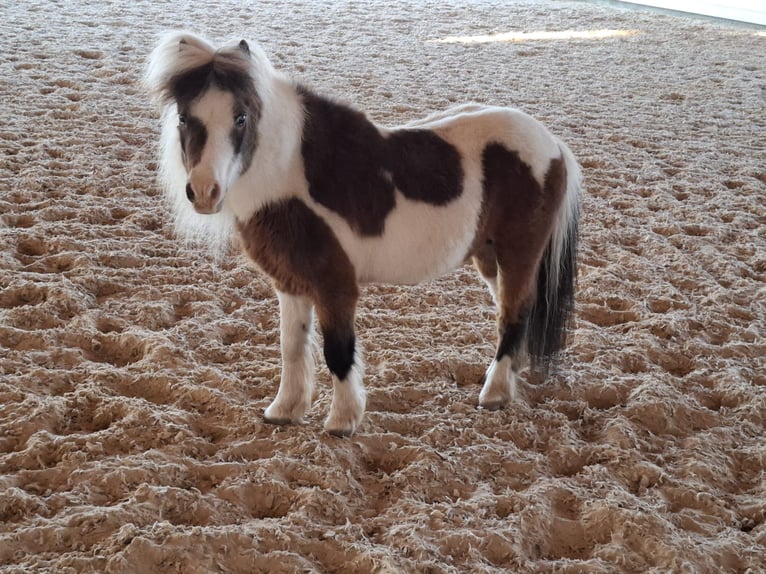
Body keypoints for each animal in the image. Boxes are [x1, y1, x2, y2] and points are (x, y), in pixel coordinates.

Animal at [145, 31, 581, 437]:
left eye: (240, 118)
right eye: (184, 118)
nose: (204, 192)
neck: (292, 175)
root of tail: (552, 144)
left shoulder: (335, 285)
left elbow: (338, 352)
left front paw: (342, 421)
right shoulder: (290, 282)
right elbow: (291, 347)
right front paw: (284, 411)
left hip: (518, 254)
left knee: (514, 314)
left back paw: (493, 394)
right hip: (490, 258)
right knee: (516, 310)